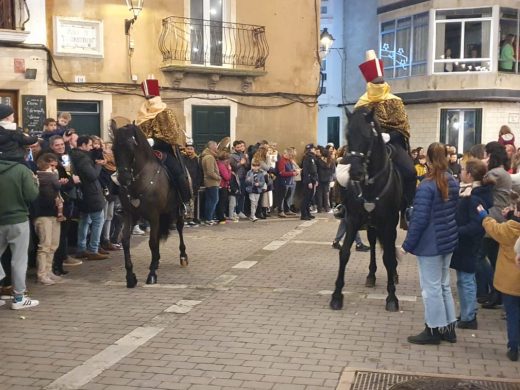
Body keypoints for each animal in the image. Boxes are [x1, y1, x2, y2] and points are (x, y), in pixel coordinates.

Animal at [111, 123, 189, 288]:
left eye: (131, 148)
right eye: (114, 149)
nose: (123, 179)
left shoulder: (153, 216)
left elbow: (152, 243)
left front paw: (152, 274)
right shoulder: (129, 215)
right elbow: (125, 241)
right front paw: (130, 276)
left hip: (176, 210)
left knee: (179, 228)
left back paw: (183, 256)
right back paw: (157, 260)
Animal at [332, 108, 400, 312]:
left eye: (368, 135)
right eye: (347, 135)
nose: (355, 172)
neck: (371, 184)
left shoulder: (387, 223)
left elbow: (389, 256)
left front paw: (392, 297)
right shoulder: (353, 219)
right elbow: (344, 253)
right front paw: (336, 295)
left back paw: (394, 274)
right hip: (370, 224)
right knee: (372, 243)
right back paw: (371, 275)